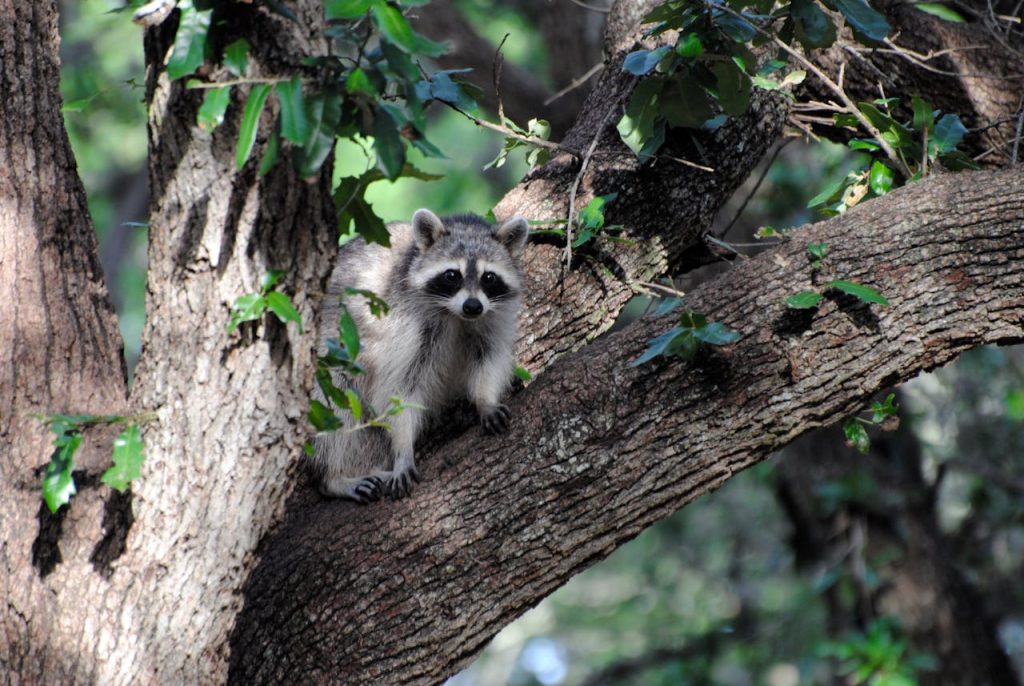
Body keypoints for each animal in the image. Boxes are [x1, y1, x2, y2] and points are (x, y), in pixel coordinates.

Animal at [313, 208, 529, 502]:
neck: (456, 315)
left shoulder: (492, 318)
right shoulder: (405, 323)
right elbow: (400, 388)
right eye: (452, 275)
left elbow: (489, 358)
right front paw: (404, 450)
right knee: (337, 406)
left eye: (489, 277)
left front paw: (485, 399)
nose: (472, 306)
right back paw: (334, 478)